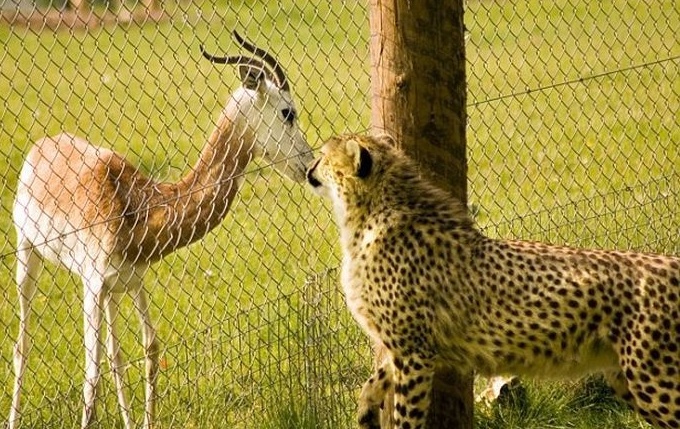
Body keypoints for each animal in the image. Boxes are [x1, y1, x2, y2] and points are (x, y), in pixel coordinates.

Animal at [306, 132, 680, 426]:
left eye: (323, 155)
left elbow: (406, 415)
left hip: (654, 379)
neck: (369, 215)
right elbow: (374, 380)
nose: (309, 167)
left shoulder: (414, 350)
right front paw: (365, 411)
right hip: (625, 376)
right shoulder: (409, 344)